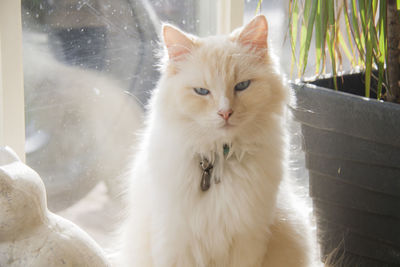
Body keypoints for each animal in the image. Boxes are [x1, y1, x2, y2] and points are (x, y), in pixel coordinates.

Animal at [117, 15, 318, 267]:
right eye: (202, 91)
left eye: (242, 86)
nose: (225, 113)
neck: (219, 160)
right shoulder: (176, 242)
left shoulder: (247, 239)